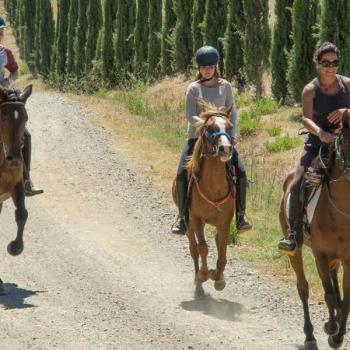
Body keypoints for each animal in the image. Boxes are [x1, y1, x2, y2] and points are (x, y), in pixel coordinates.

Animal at [173, 102, 235, 292]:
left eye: (230, 126)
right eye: (210, 127)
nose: (225, 149)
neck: (214, 188)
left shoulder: (225, 222)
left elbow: (222, 251)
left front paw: (219, 278)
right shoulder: (197, 218)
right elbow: (203, 248)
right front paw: (203, 274)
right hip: (188, 222)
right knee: (193, 248)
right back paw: (197, 278)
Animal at [278, 110, 350, 348]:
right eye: (343, 141)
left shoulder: (348, 258)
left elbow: (346, 299)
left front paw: (337, 335)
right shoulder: (321, 254)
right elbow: (329, 296)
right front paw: (333, 330)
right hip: (297, 251)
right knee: (303, 288)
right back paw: (310, 336)